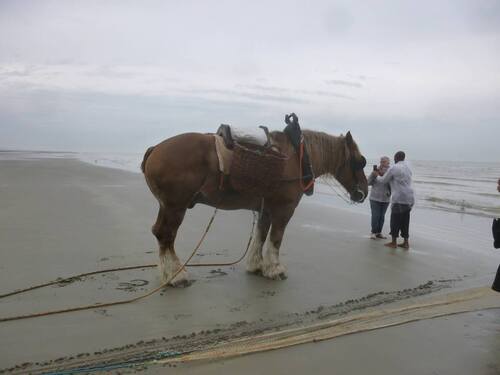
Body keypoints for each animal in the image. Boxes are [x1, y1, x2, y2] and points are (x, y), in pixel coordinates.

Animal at [141, 120, 368, 288]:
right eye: (361, 161)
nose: (364, 193)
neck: (298, 155)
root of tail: (155, 148)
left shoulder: (265, 210)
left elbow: (260, 235)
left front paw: (256, 266)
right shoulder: (284, 210)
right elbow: (276, 239)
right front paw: (274, 268)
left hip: (167, 206)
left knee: (160, 233)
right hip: (175, 207)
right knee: (166, 235)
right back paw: (176, 275)